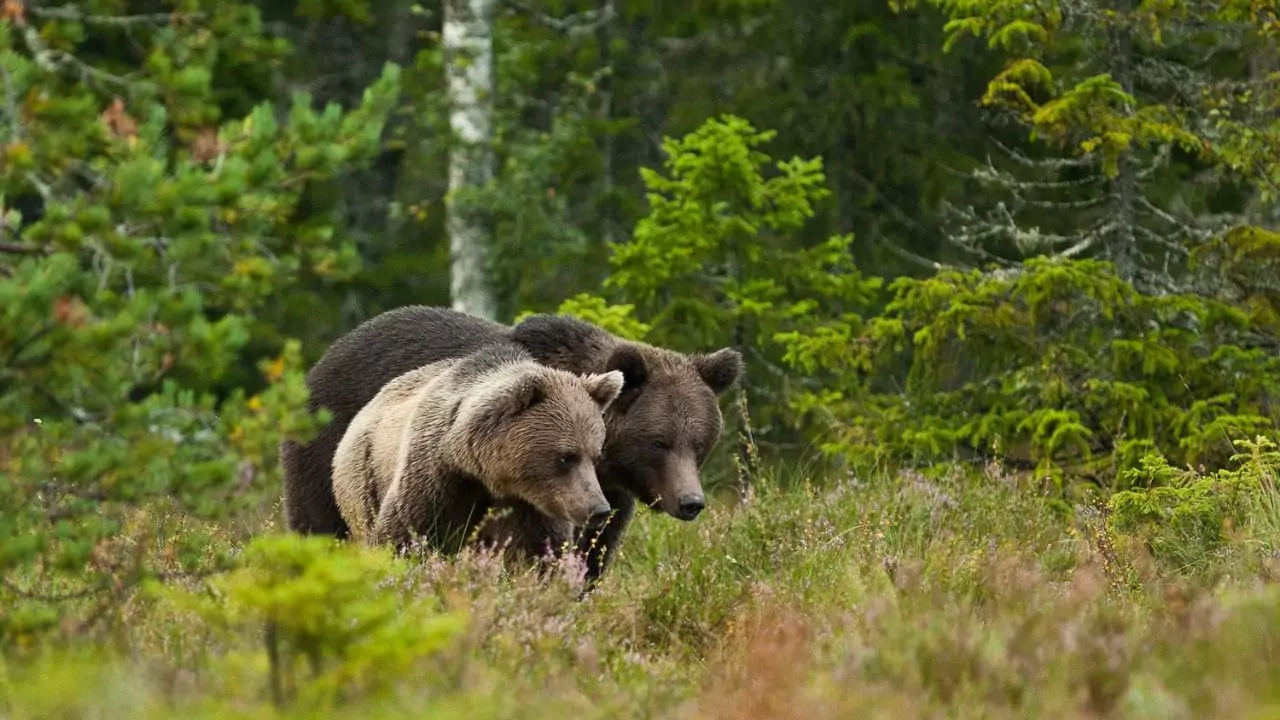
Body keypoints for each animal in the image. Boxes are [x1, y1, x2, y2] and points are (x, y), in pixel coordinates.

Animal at [330, 341, 625, 560]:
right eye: (566, 457)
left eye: (595, 456)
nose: (599, 509)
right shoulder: (436, 476)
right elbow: (405, 532)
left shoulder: (533, 504)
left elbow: (540, 551)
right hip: (364, 474)